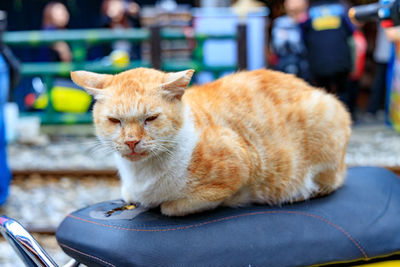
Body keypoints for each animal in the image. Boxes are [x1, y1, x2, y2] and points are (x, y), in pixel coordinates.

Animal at [71, 68, 350, 217]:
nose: (131, 141)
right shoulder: (130, 190)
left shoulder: (240, 167)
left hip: (325, 118)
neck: (141, 174)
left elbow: (172, 207)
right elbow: (131, 194)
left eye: (150, 118)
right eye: (115, 121)